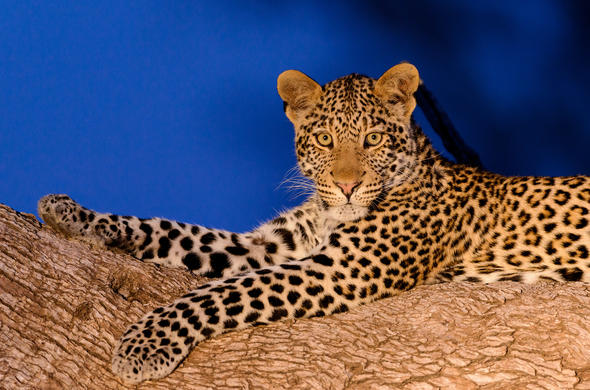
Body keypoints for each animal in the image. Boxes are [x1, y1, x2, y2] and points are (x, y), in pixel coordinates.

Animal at [38, 64, 590, 384]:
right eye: (324, 139)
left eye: (372, 138)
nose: (346, 185)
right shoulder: (270, 245)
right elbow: (169, 231)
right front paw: (70, 213)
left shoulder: (341, 270)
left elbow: (222, 294)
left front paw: (143, 345)